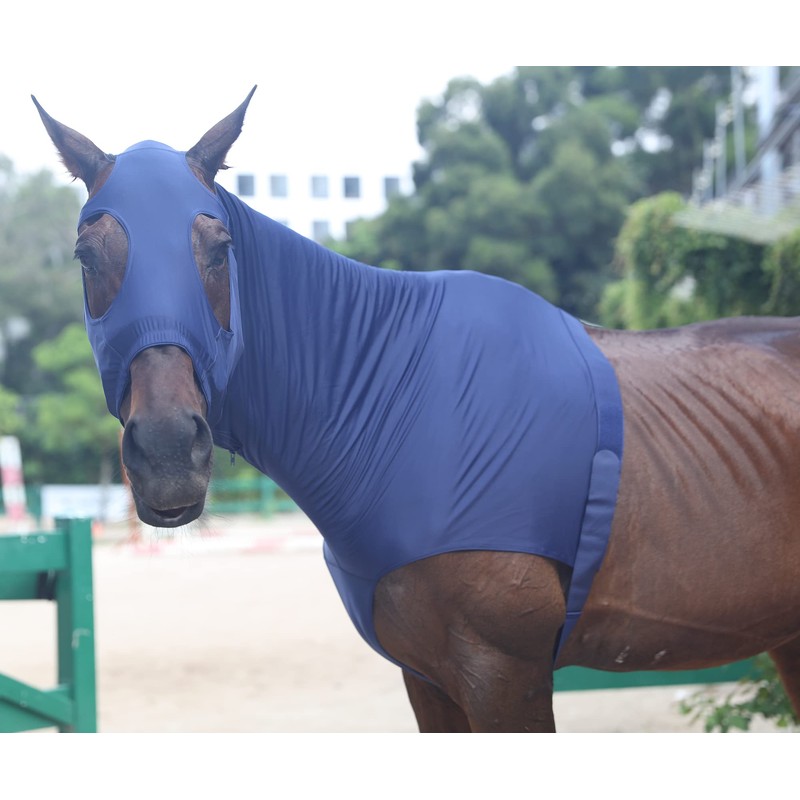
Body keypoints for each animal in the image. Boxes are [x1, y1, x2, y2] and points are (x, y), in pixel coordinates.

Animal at [33, 89, 800, 732]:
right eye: (86, 255)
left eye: (219, 249)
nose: (167, 452)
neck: (410, 403)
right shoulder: (429, 680)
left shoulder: (505, 676)